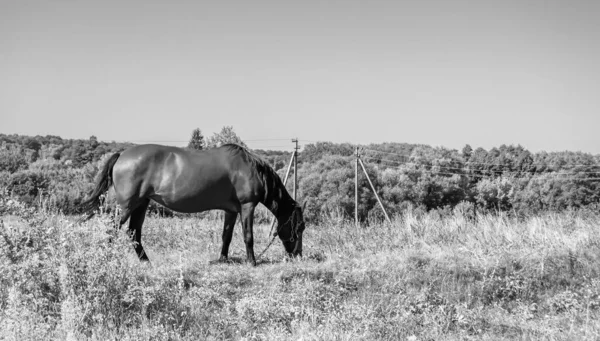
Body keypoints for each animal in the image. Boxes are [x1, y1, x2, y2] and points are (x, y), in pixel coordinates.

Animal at [79, 142, 304, 264]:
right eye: (299, 227)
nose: (298, 255)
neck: (250, 168)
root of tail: (121, 155)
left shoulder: (231, 210)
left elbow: (227, 236)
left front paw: (223, 259)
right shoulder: (247, 206)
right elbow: (248, 236)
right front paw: (252, 261)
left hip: (141, 204)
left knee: (134, 232)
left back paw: (146, 262)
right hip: (126, 205)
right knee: (112, 230)